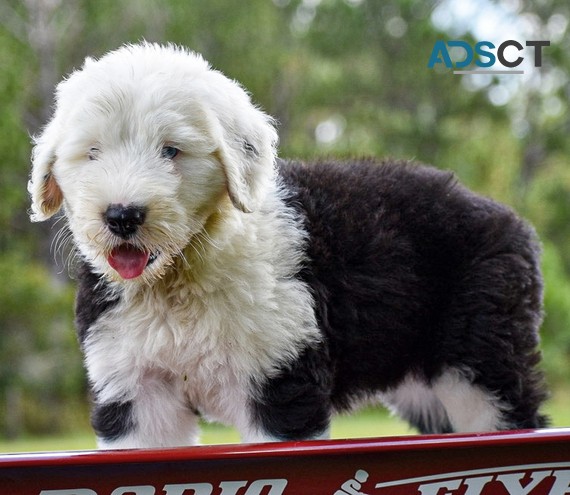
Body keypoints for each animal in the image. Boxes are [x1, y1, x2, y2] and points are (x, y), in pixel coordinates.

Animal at [28, 42, 544, 450]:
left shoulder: (278, 379)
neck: (183, 278)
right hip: (424, 382)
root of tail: (508, 218)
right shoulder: (137, 392)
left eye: (171, 150)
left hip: (478, 359)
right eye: (92, 153)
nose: (122, 216)